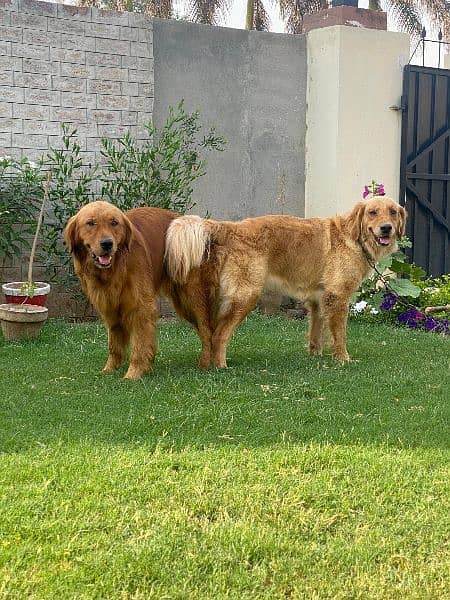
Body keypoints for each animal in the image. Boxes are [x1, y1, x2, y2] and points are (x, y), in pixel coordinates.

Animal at [64, 202, 177, 380]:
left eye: (114, 223)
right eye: (91, 223)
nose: (107, 244)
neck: (114, 269)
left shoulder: (141, 307)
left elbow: (140, 345)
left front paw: (134, 373)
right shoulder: (109, 307)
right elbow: (114, 345)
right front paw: (110, 369)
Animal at [163, 197, 406, 366]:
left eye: (393, 212)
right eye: (372, 213)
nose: (386, 228)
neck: (354, 237)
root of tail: (231, 227)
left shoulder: (318, 300)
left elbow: (316, 333)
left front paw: (315, 356)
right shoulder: (337, 298)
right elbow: (340, 335)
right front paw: (343, 359)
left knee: (210, 334)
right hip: (246, 296)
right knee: (219, 335)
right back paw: (221, 366)